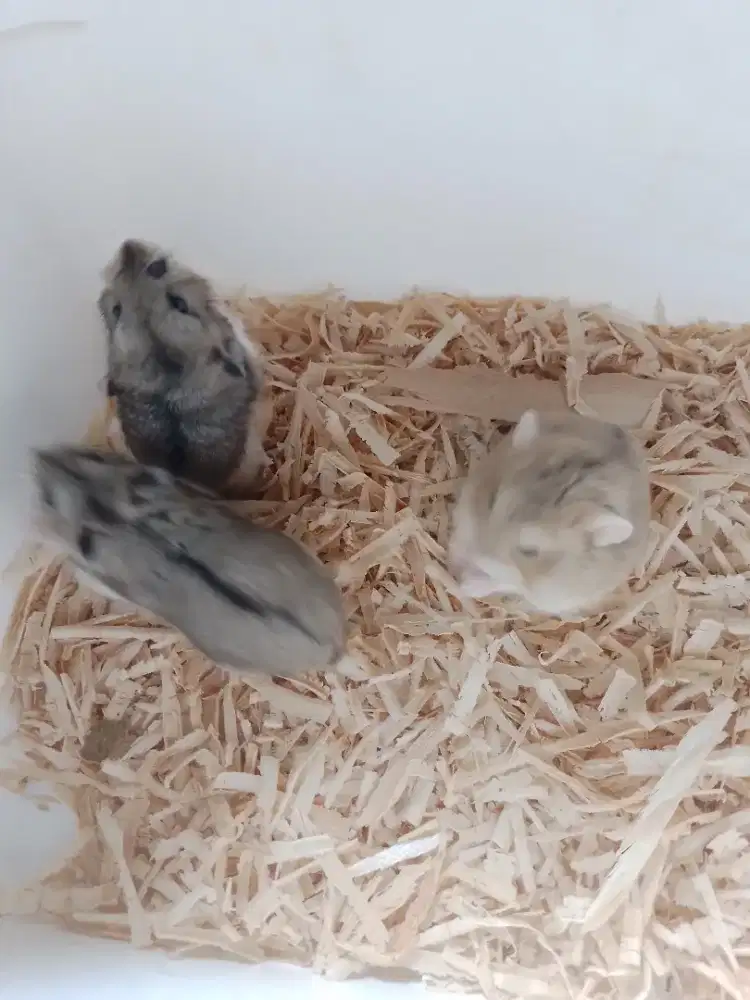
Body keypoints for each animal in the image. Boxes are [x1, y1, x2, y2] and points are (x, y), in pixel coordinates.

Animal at [448, 409, 651, 617]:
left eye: (529, 551)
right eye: (492, 499)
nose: (472, 559)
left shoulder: (546, 592)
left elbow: (509, 582)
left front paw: (467, 584)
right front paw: (455, 555)